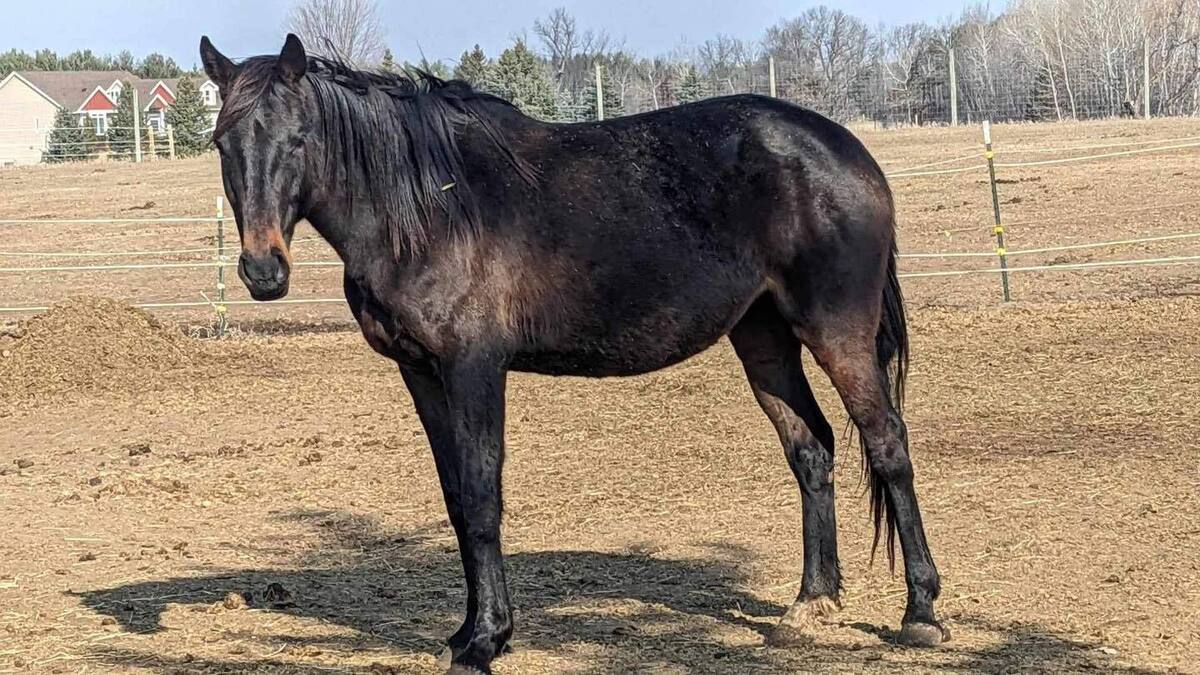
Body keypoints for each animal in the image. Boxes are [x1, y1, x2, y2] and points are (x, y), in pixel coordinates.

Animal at [199, 33, 947, 674]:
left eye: (299, 139)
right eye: (222, 142)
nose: (263, 272)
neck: (430, 207)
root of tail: (847, 150)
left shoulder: (473, 368)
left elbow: (482, 495)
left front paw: (487, 639)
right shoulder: (421, 373)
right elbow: (455, 499)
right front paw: (465, 632)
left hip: (837, 330)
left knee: (887, 442)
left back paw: (921, 612)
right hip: (761, 334)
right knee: (811, 448)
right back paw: (812, 603)